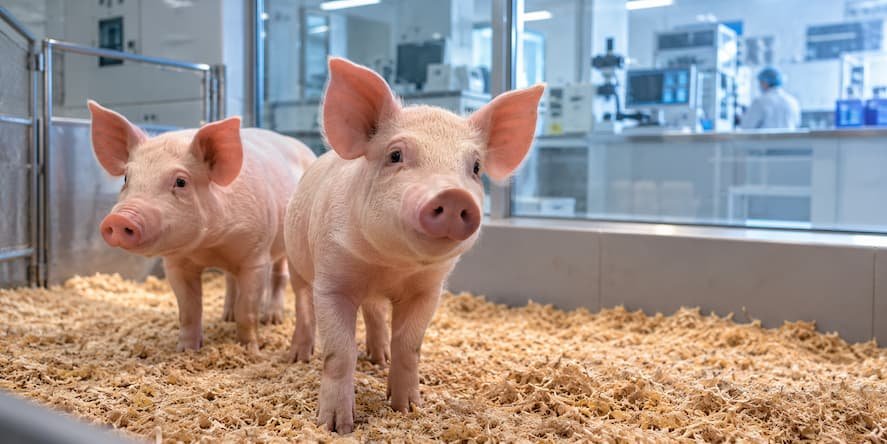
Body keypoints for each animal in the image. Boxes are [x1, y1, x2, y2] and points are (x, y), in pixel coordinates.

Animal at [88, 101, 316, 353]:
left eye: (181, 182)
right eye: (126, 178)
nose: (120, 219)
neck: (210, 246)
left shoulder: (256, 256)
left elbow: (247, 310)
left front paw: (250, 349)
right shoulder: (176, 264)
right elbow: (189, 310)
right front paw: (186, 350)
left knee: (279, 275)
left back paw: (272, 319)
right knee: (230, 279)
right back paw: (226, 317)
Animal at [283, 57, 543, 433]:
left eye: (476, 167)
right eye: (395, 155)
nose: (453, 195)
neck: (391, 265)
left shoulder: (427, 291)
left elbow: (409, 346)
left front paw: (407, 409)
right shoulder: (331, 281)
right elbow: (339, 352)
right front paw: (335, 426)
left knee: (375, 314)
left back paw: (378, 358)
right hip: (295, 260)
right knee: (303, 304)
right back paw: (299, 356)